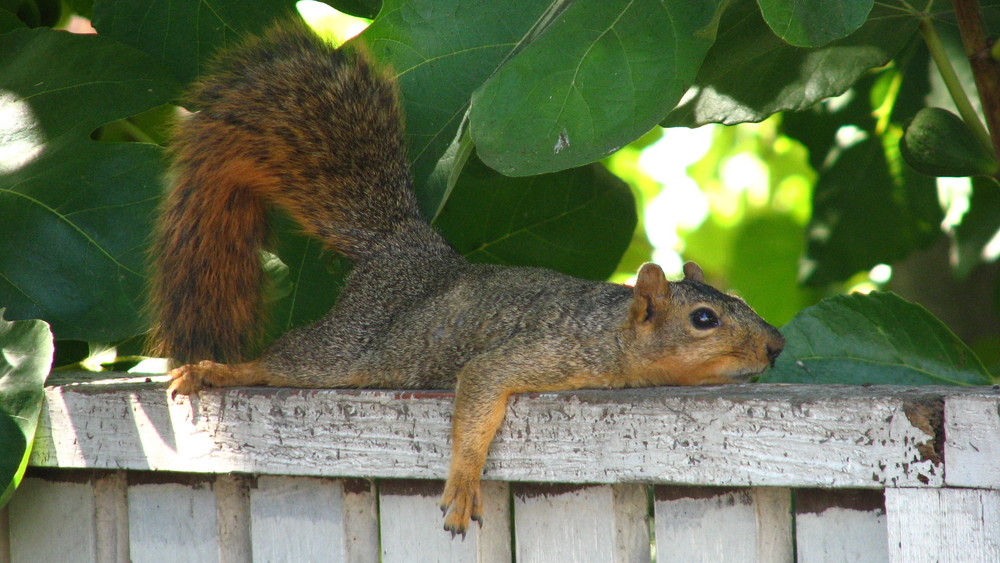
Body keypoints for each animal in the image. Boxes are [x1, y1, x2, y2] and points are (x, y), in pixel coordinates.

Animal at [152, 19, 784, 536]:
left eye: (739, 301)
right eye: (704, 318)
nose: (776, 346)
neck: (610, 332)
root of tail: (403, 246)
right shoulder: (535, 353)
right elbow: (479, 394)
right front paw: (462, 484)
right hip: (348, 346)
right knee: (286, 361)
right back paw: (212, 370)